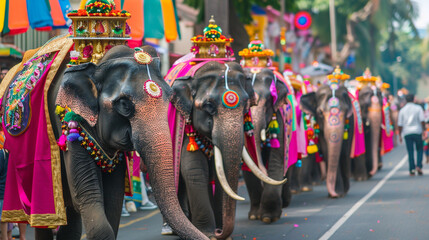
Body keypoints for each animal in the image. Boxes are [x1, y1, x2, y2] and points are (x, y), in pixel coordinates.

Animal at [0, 34, 207, 239]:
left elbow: (113, 199)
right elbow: (88, 194)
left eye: (169, 98)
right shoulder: (68, 119)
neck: (96, 64)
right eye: (124, 104)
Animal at [167, 61, 284, 238]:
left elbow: (220, 175)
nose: (219, 232)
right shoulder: (186, 122)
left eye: (246, 105)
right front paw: (207, 234)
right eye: (208, 105)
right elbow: (194, 170)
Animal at [241, 68, 290, 225]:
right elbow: (249, 165)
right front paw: (254, 216)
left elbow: (276, 160)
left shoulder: (279, 119)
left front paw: (269, 217)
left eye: (267, 102)